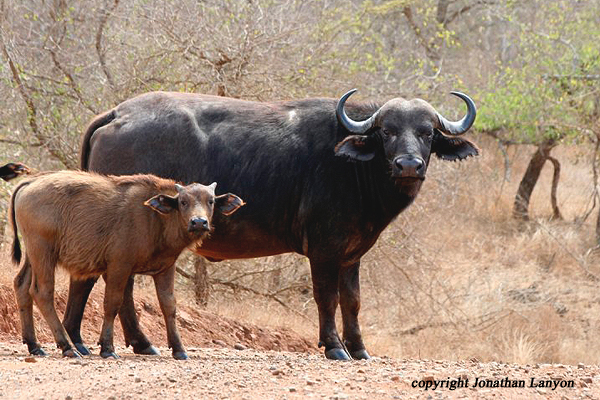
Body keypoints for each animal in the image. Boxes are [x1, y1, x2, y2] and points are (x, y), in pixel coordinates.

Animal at [9, 171, 244, 360]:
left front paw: (179, 349)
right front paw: (107, 348)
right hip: (43, 252)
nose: (199, 222)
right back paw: (67, 347)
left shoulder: (165, 268)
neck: (155, 218)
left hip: (32, 256)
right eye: (183, 201)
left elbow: (169, 306)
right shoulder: (119, 266)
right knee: (42, 292)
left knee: (21, 285)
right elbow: (112, 303)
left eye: (211, 201)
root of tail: (30, 182)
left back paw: (34, 345)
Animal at [67, 87, 478, 360]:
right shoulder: (325, 249)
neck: (354, 167)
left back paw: (128, 343)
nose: (408, 165)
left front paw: (359, 349)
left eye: (427, 132)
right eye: (388, 131)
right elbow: (327, 297)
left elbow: (353, 300)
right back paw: (117, 342)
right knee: (114, 285)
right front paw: (335, 347)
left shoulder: (352, 253)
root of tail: (118, 113)